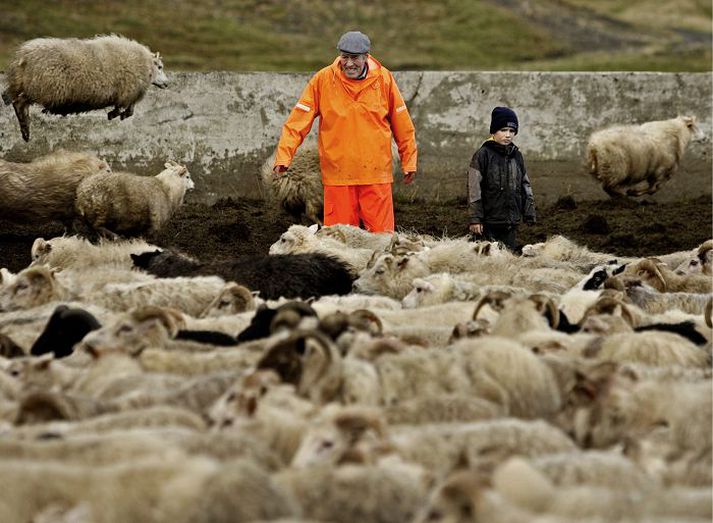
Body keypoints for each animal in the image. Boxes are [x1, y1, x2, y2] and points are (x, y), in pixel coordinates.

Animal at [2, 34, 168, 141]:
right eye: (160, 67)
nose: (167, 83)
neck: (146, 66)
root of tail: (24, 56)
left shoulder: (127, 92)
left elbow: (129, 108)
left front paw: (116, 114)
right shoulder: (128, 90)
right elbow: (127, 109)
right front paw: (115, 114)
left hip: (21, 84)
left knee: (11, 99)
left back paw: (25, 130)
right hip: (39, 88)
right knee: (19, 103)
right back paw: (26, 130)